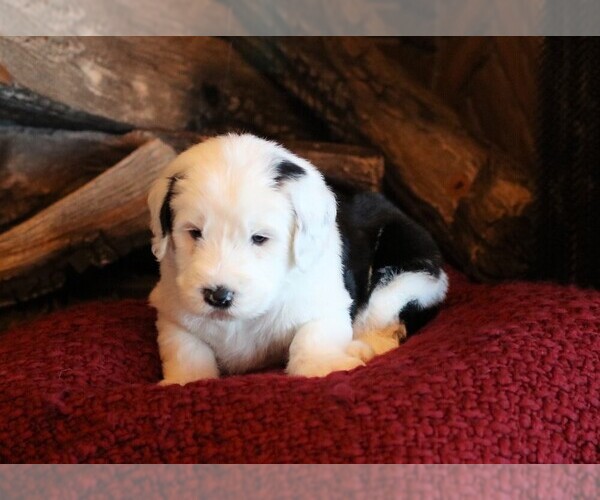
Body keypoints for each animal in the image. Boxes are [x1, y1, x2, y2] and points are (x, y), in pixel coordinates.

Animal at [148, 133, 448, 382]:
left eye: (259, 238)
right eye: (194, 232)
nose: (218, 296)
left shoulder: (327, 304)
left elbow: (312, 337)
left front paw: (324, 366)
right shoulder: (173, 312)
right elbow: (186, 351)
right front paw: (185, 380)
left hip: (402, 276)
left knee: (387, 326)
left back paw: (362, 348)